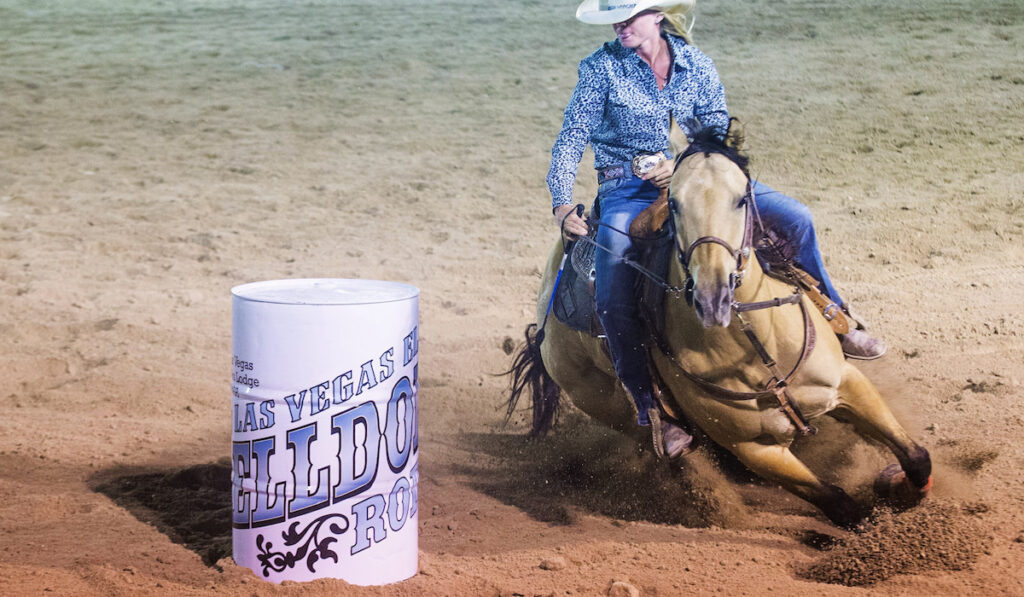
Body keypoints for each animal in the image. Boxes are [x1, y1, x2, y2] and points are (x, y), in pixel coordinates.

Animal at [507, 120, 933, 528]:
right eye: (674, 203)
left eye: (742, 197)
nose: (713, 295)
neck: (755, 343)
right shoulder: (755, 449)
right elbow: (841, 505)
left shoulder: (848, 384)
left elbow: (916, 457)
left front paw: (898, 488)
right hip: (611, 407)